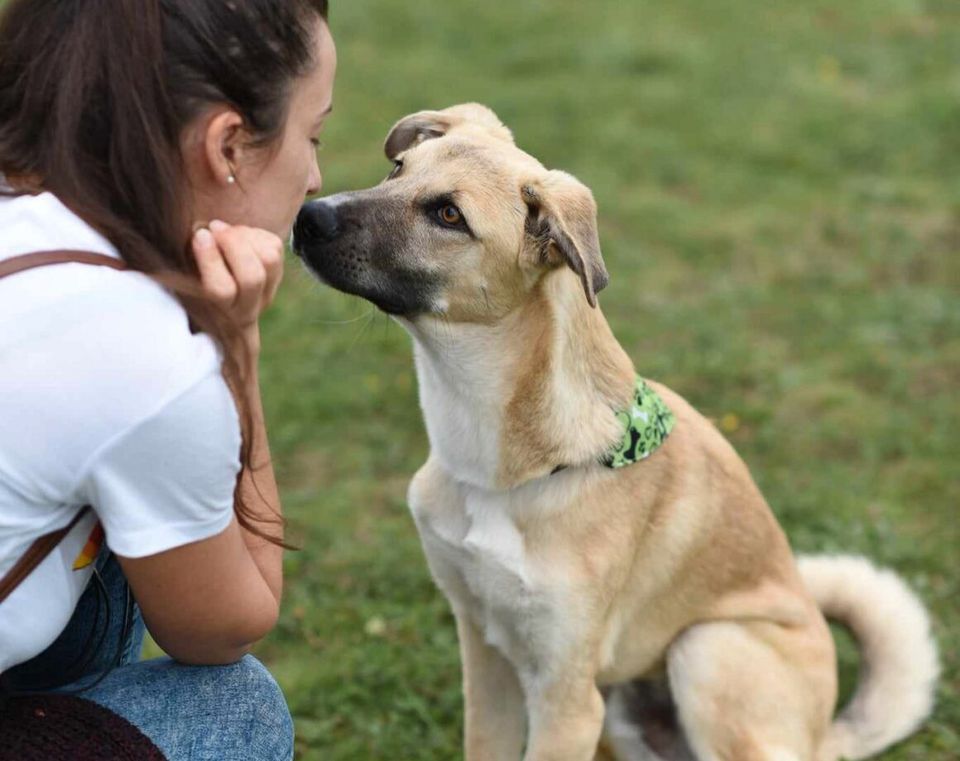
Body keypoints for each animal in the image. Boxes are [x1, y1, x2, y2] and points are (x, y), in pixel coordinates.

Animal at [292, 102, 936, 760]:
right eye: (398, 167)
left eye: (449, 214)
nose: (307, 217)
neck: (497, 470)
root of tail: (824, 739)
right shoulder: (485, 656)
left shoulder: (568, 702)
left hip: (705, 649)